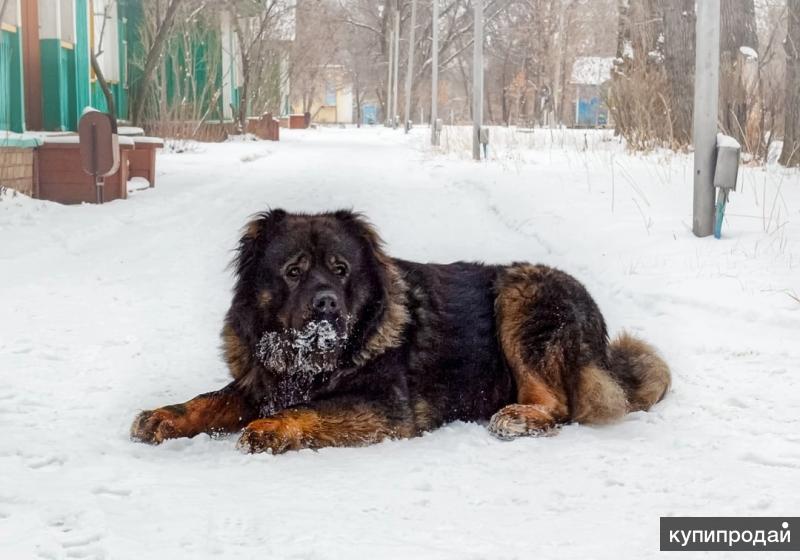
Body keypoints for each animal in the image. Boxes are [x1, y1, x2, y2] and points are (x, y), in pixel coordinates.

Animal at [130, 211, 668, 456]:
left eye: (341, 270)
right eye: (294, 271)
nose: (326, 303)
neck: (307, 361)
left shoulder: (385, 407)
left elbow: (310, 409)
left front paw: (268, 428)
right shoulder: (261, 380)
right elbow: (209, 400)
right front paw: (165, 416)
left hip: (523, 293)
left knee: (557, 403)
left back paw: (517, 417)